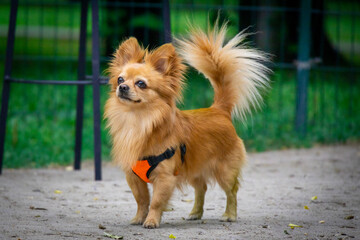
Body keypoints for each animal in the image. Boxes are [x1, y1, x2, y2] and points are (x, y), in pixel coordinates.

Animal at [104, 21, 270, 229]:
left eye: (141, 84)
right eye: (120, 79)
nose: (122, 87)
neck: (139, 121)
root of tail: (219, 109)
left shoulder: (165, 177)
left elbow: (156, 201)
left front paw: (151, 221)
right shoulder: (133, 177)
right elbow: (141, 200)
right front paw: (139, 218)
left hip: (225, 171)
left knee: (231, 191)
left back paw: (229, 215)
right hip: (194, 169)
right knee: (202, 188)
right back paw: (196, 213)